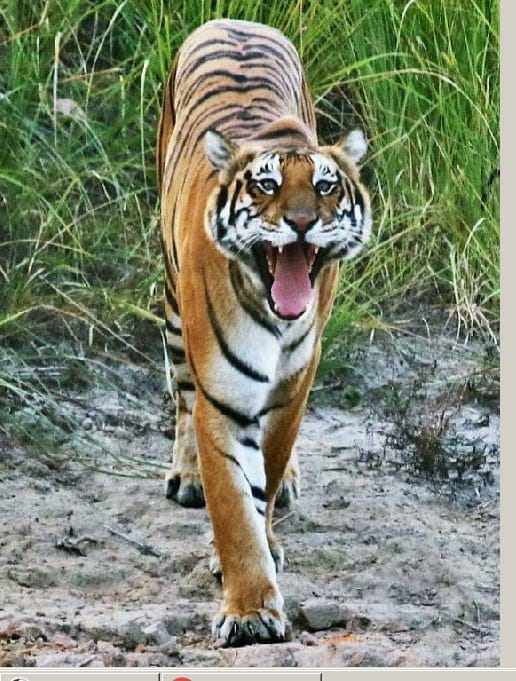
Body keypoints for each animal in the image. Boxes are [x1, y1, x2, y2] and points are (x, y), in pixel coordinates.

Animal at [156, 18, 372, 646]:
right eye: (267, 185)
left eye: (325, 187)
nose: (301, 222)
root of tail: (235, 20)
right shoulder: (223, 396)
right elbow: (233, 503)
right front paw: (250, 609)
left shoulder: (290, 389)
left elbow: (266, 478)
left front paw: (265, 542)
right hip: (173, 303)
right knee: (181, 393)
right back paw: (186, 475)